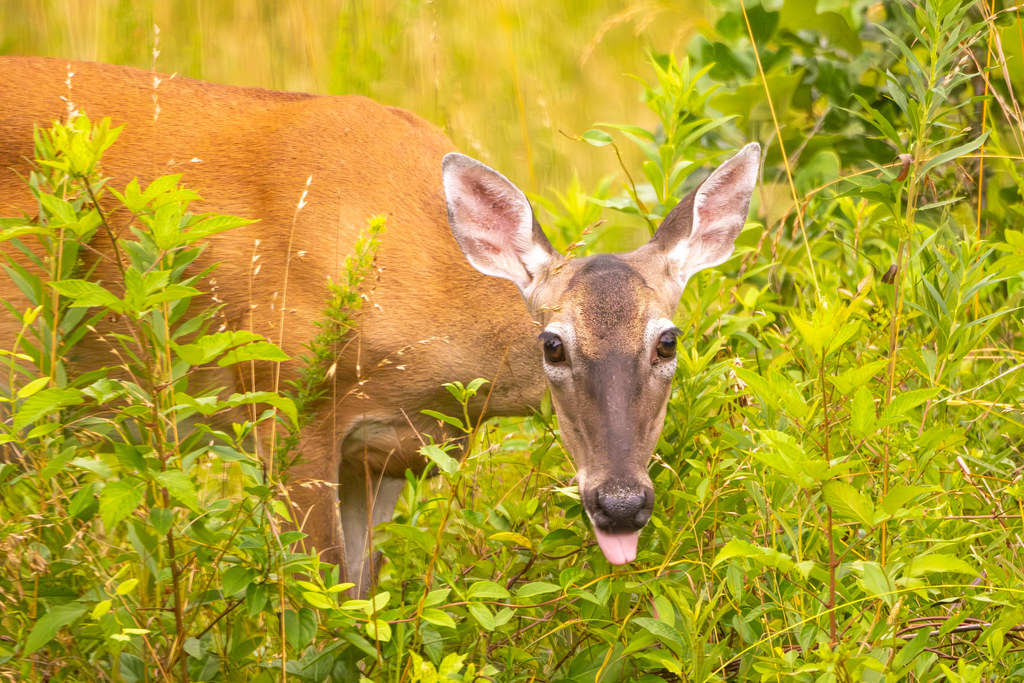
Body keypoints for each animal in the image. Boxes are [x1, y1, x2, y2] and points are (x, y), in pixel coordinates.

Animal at [0, 57, 760, 596]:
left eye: (668, 340)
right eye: (552, 344)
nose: (621, 503)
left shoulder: (385, 454)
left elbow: (362, 599)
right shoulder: (284, 401)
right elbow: (318, 601)